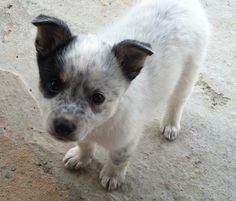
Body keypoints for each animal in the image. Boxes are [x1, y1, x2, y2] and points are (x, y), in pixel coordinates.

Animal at [31, 0, 210, 192]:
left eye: (98, 98)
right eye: (53, 85)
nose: (63, 126)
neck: (102, 123)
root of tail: (185, 3)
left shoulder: (127, 139)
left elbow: (118, 159)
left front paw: (112, 176)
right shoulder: (85, 130)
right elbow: (84, 143)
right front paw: (81, 157)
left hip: (189, 71)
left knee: (177, 101)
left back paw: (170, 124)